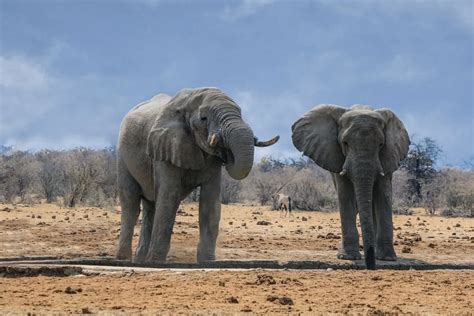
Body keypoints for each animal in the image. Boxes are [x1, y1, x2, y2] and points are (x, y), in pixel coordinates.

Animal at [115, 87, 278, 262]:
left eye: (240, 113)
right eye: (203, 118)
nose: (226, 154)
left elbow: (210, 202)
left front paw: (207, 261)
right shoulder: (164, 148)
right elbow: (169, 197)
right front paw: (156, 260)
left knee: (149, 208)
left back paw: (141, 259)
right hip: (122, 156)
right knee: (131, 204)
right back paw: (124, 259)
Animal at [290, 103, 410, 270]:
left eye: (381, 144)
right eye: (345, 143)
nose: (371, 267)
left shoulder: (387, 157)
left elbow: (383, 195)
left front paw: (388, 259)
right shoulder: (337, 157)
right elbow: (346, 195)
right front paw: (348, 258)